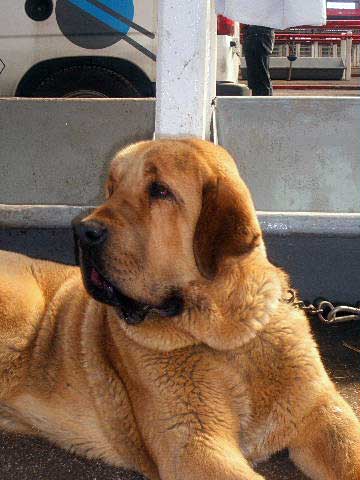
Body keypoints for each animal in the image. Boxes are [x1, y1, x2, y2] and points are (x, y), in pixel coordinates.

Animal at [0, 137, 360, 478]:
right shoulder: (195, 447)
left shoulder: (321, 413)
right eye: (112, 189)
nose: (83, 231)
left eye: (159, 190)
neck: (229, 336)